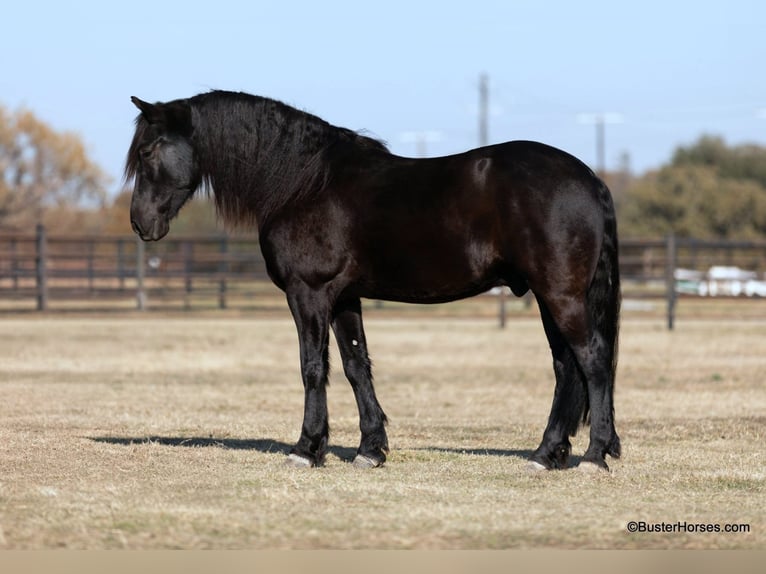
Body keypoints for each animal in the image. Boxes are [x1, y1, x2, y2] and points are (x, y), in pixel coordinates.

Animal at [123, 91, 620, 472]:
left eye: (147, 152)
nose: (140, 223)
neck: (302, 182)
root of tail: (589, 179)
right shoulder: (344, 298)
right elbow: (355, 366)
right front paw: (370, 450)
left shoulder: (308, 293)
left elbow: (312, 367)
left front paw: (307, 449)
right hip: (549, 297)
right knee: (566, 368)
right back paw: (546, 454)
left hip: (560, 295)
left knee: (592, 361)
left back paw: (594, 456)